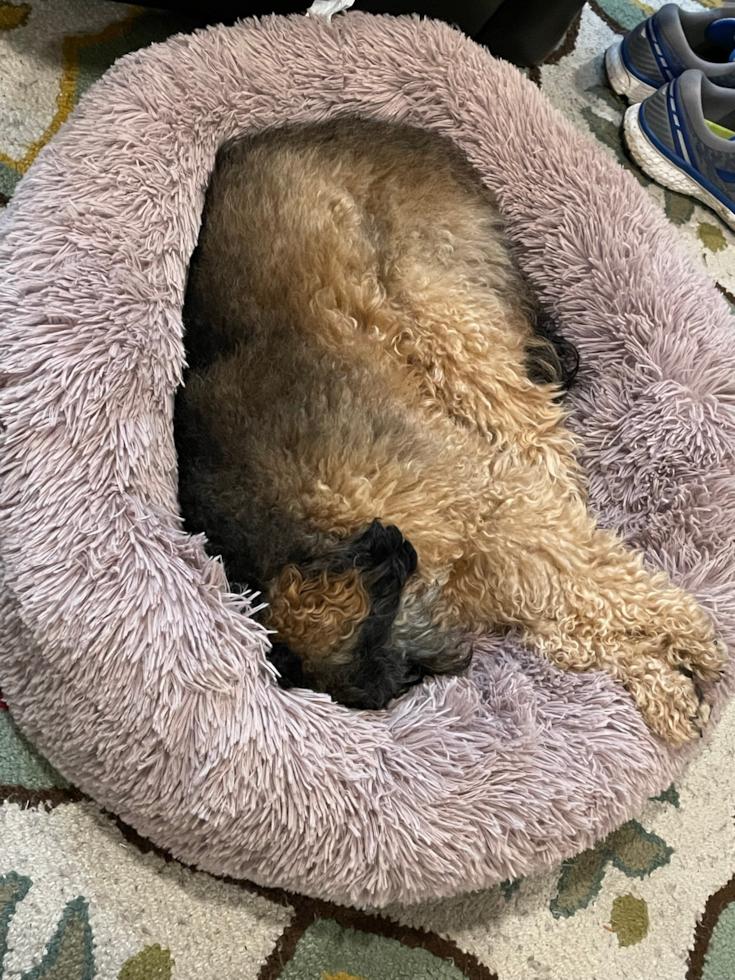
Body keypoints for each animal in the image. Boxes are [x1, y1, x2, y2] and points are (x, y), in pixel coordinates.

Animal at [175, 117, 728, 744]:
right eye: (399, 676)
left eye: (393, 661)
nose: (452, 659)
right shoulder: (491, 552)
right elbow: (571, 608)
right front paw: (663, 682)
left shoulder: (490, 503)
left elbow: (594, 575)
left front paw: (687, 636)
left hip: (441, 310)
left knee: (546, 447)